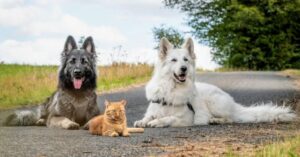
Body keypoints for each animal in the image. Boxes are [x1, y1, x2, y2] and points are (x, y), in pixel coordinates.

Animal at [135, 37, 296, 127]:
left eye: (185, 60)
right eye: (173, 60)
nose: (184, 69)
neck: (171, 88)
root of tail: (232, 102)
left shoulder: (187, 118)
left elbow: (169, 118)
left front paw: (157, 122)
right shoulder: (155, 108)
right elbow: (148, 116)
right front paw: (143, 121)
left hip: (215, 103)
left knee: (231, 118)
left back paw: (216, 120)